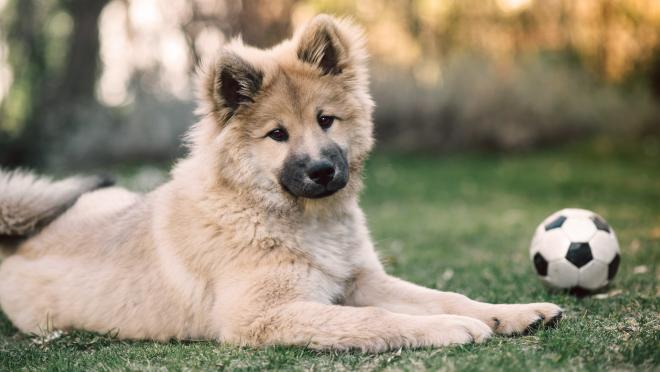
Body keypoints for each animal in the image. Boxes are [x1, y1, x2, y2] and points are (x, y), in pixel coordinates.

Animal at [0, 15, 564, 352]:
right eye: (277, 134)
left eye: (326, 120)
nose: (322, 171)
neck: (284, 216)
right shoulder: (262, 316)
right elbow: (373, 320)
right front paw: (445, 329)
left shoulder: (359, 279)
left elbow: (447, 294)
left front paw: (514, 313)